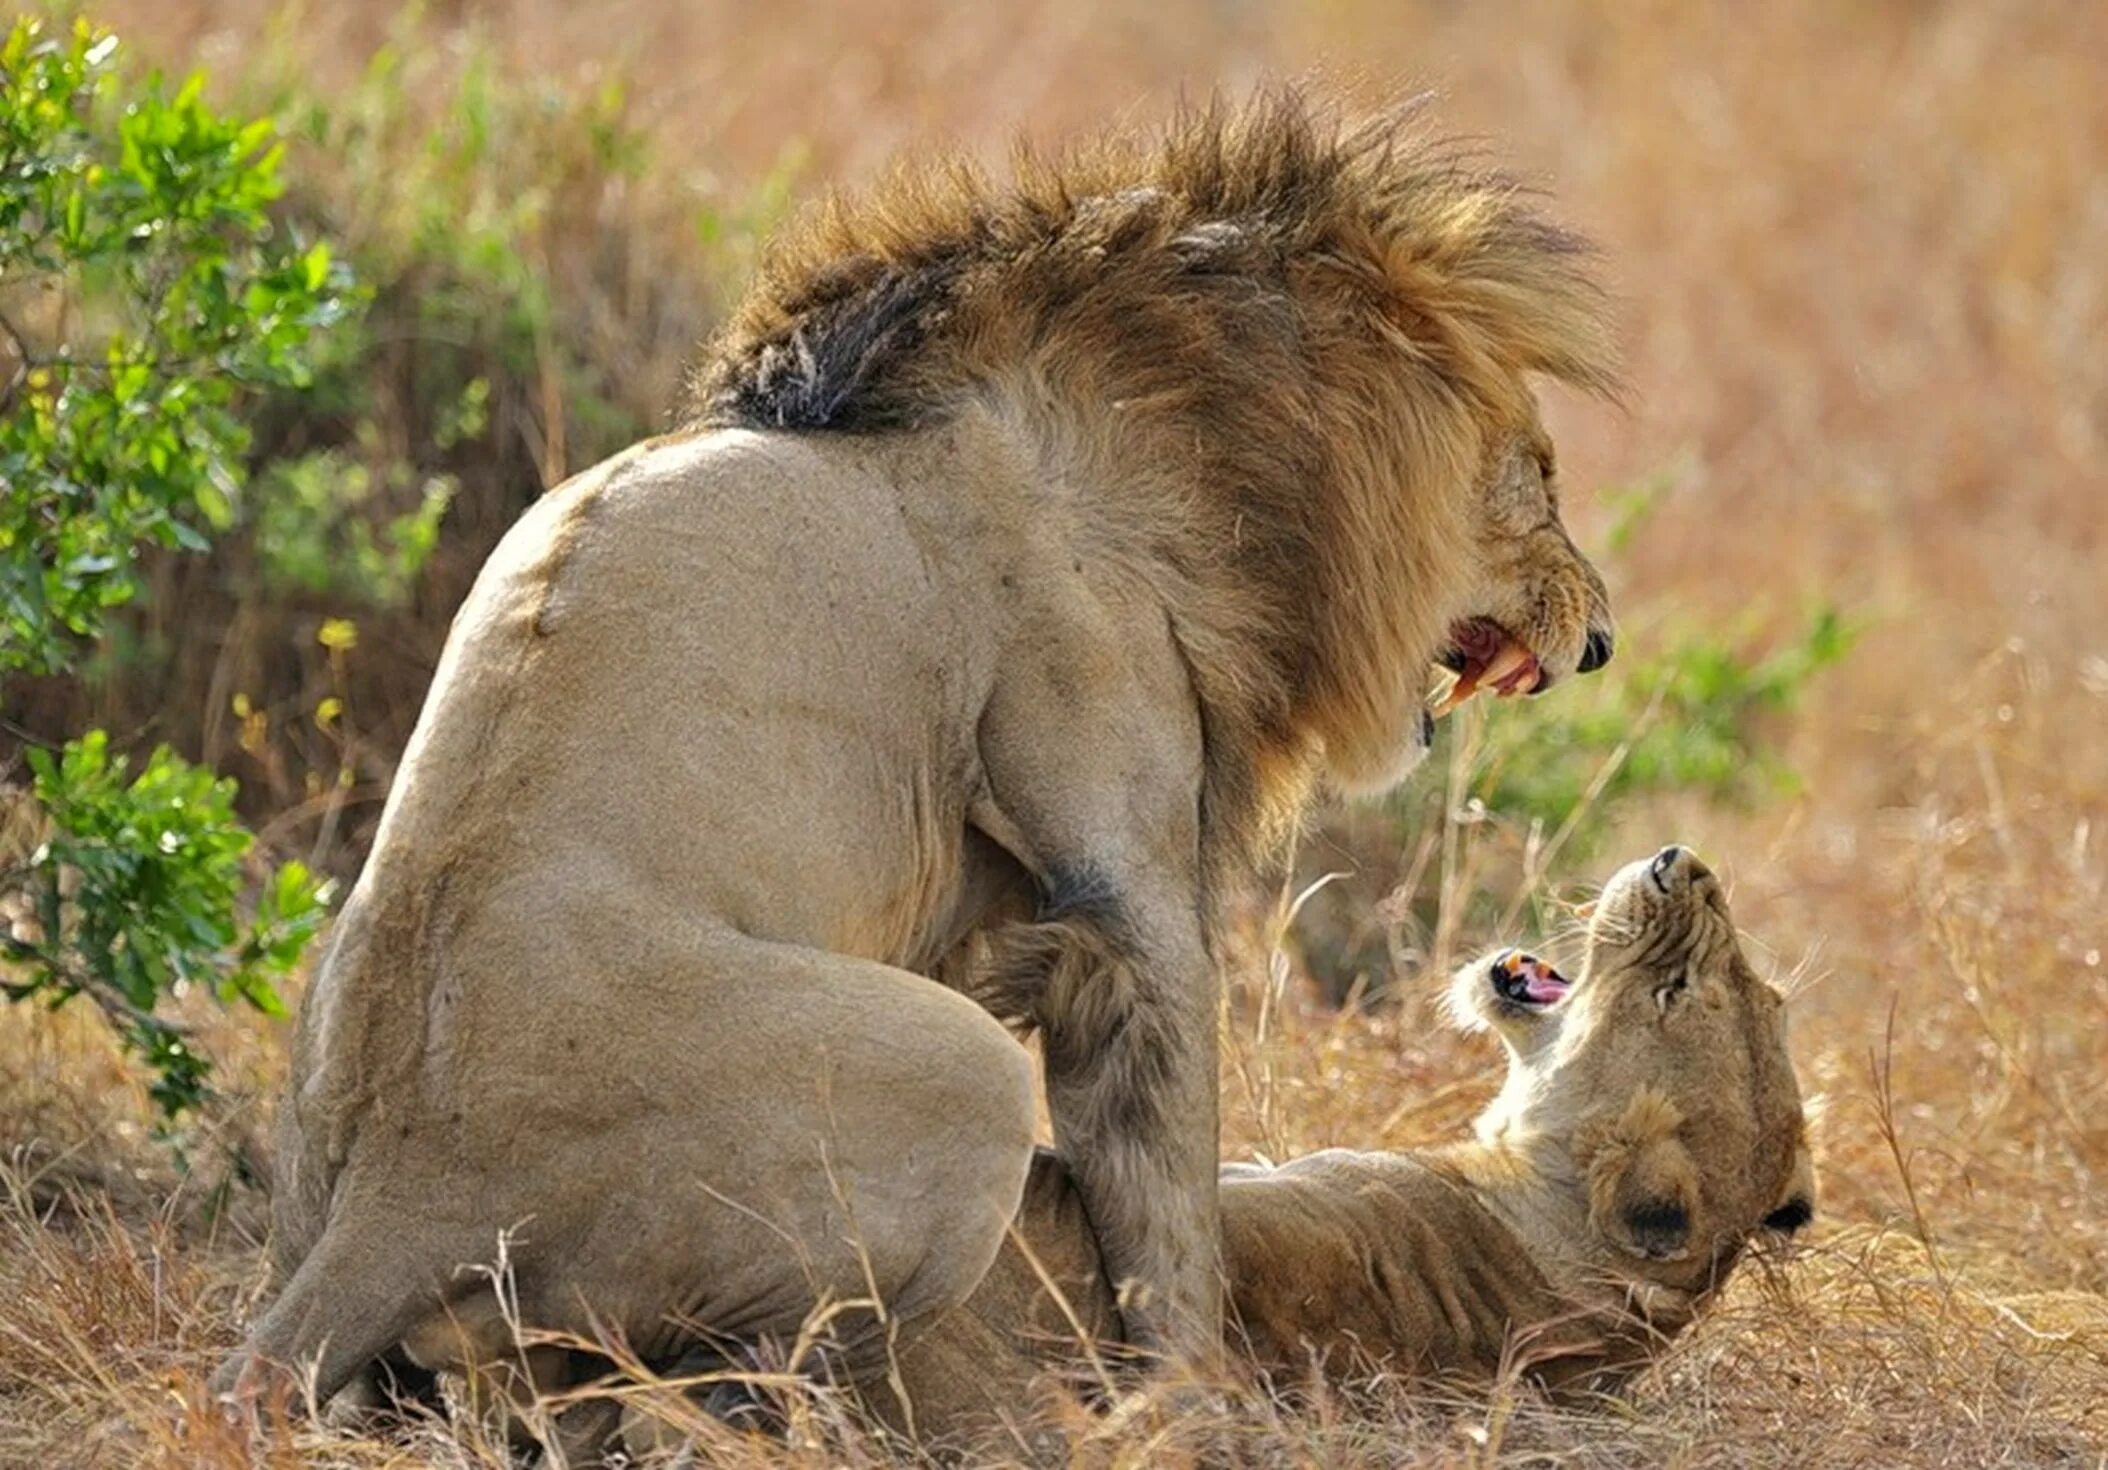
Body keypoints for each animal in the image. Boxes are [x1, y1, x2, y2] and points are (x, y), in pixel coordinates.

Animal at [218, 89, 1610, 1400]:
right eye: (1539, 473)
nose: (1598, 639)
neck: (1189, 441)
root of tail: (389, 1197)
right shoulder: (1122, 881)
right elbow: (1170, 1200)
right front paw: (1195, 1403)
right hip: (959, 1084)